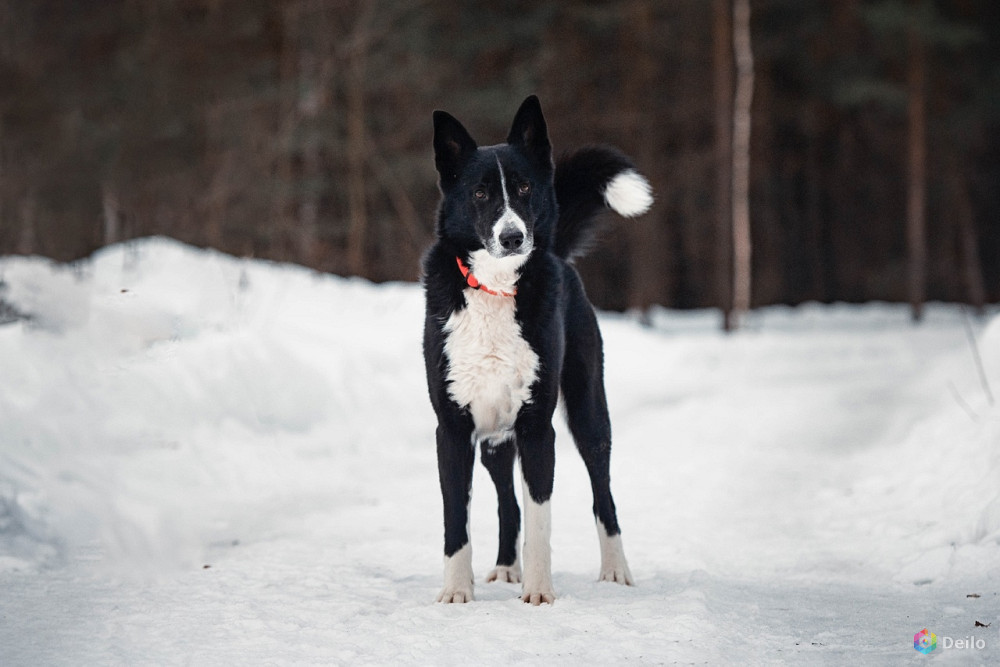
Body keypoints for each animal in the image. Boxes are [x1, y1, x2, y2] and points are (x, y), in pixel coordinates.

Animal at [420, 95, 648, 604]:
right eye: (480, 194)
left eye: (524, 187)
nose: (513, 237)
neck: (495, 288)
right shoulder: (452, 428)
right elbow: (455, 520)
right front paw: (456, 592)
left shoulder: (538, 428)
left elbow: (542, 519)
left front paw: (540, 593)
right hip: (495, 442)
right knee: (508, 503)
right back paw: (507, 567)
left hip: (588, 412)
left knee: (602, 494)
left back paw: (616, 570)